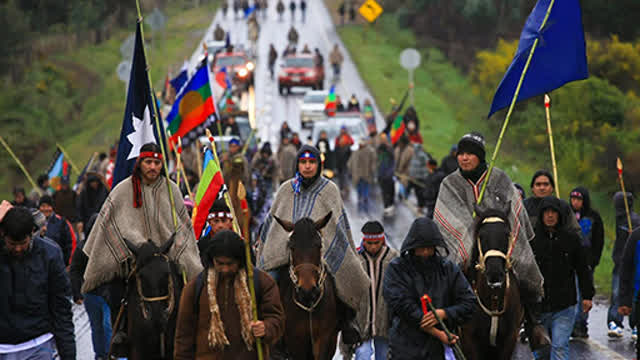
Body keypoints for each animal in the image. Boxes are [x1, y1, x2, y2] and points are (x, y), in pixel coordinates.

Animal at [460, 204, 524, 360]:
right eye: (481, 236)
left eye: (506, 234)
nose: (494, 274)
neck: (493, 300)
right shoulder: (468, 340)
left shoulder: (509, 340)